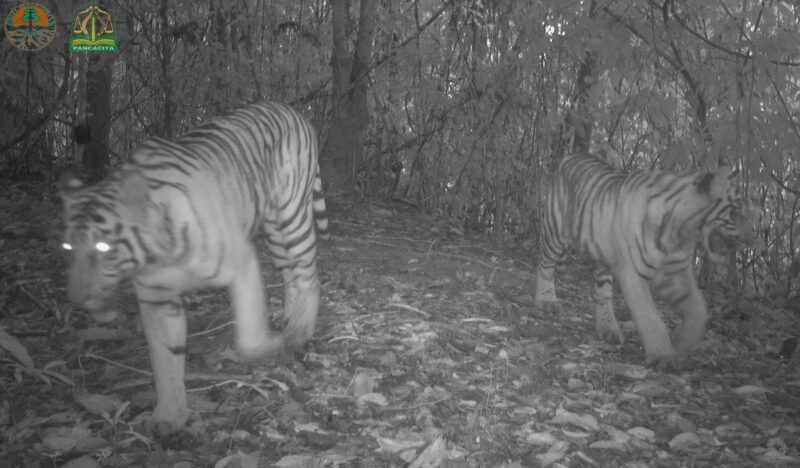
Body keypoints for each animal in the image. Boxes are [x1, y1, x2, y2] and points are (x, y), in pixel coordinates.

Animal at [59, 101, 328, 433]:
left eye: (103, 248)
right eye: (68, 248)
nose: (76, 298)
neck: (158, 251)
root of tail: (291, 109)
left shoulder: (241, 262)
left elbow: (250, 336)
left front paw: (267, 348)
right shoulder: (156, 297)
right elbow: (165, 359)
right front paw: (169, 416)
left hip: (292, 216)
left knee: (309, 274)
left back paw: (299, 332)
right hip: (274, 232)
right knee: (291, 274)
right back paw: (291, 319)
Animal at [534, 152, 751, 369]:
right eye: (736, 210)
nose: (749, 239)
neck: (682, 232)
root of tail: (571, 155)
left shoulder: (673, 273)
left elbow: (698, 306)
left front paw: (686, 341)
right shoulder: (633, 272)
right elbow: (649, 316)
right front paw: (664, 356)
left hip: (602, 255)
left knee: (602, 294)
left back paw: (609, 328)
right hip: (555, 232)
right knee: (545, 266)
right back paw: (546, 300)